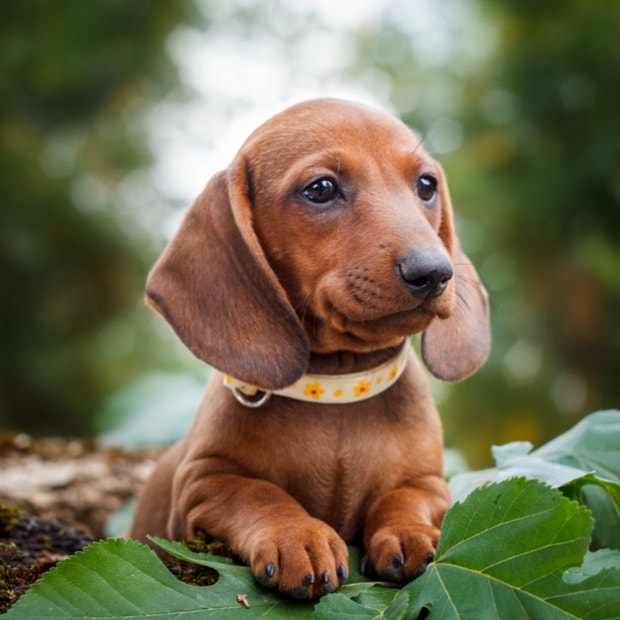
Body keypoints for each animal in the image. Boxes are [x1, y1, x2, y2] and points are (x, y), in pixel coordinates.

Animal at [130, 99, 490, 600]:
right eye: (321, 189)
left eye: (426, 184)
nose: (435, 271)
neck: (338, 388)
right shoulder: (201, 483)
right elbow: (257, 493)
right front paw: (298, 536)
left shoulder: (430, 482)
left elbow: (404, 496)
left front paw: (408, 531)